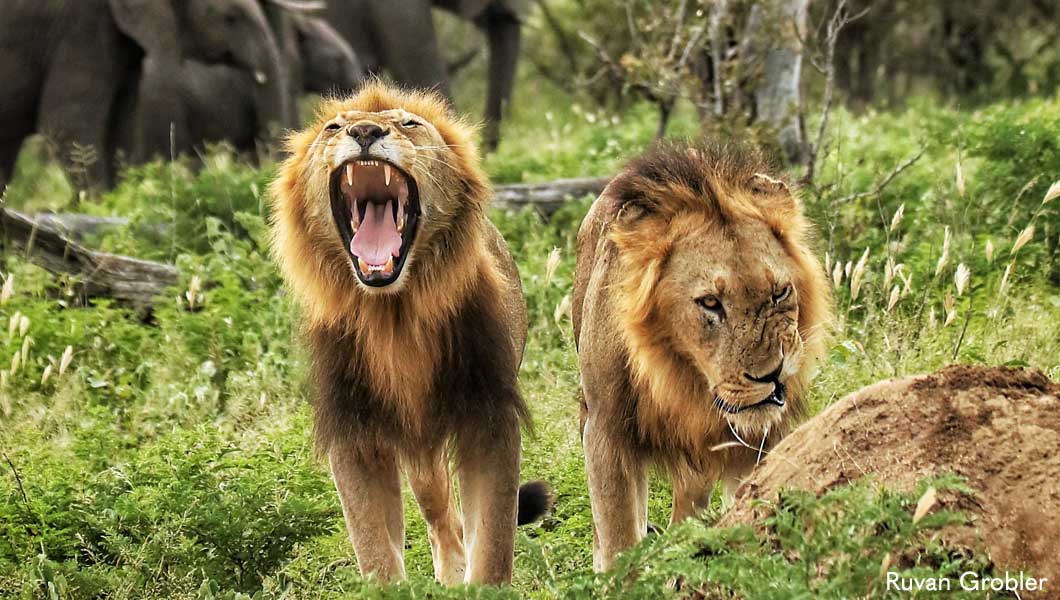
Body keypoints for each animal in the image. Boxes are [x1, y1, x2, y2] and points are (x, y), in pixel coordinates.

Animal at [268, 81, 549, 585]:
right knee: (438, 512)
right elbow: (375, 548)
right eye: (333, 127)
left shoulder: (489, 415)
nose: (364, 131)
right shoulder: (355, 428)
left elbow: (494, 540)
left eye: (409, 124)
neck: (393, 315)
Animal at [571, 141, 833, 571]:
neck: (680, 377)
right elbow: (618, 538)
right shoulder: (605, 430)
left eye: (779, 292)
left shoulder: (761, 440)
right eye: (710, 302)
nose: (773, 375)